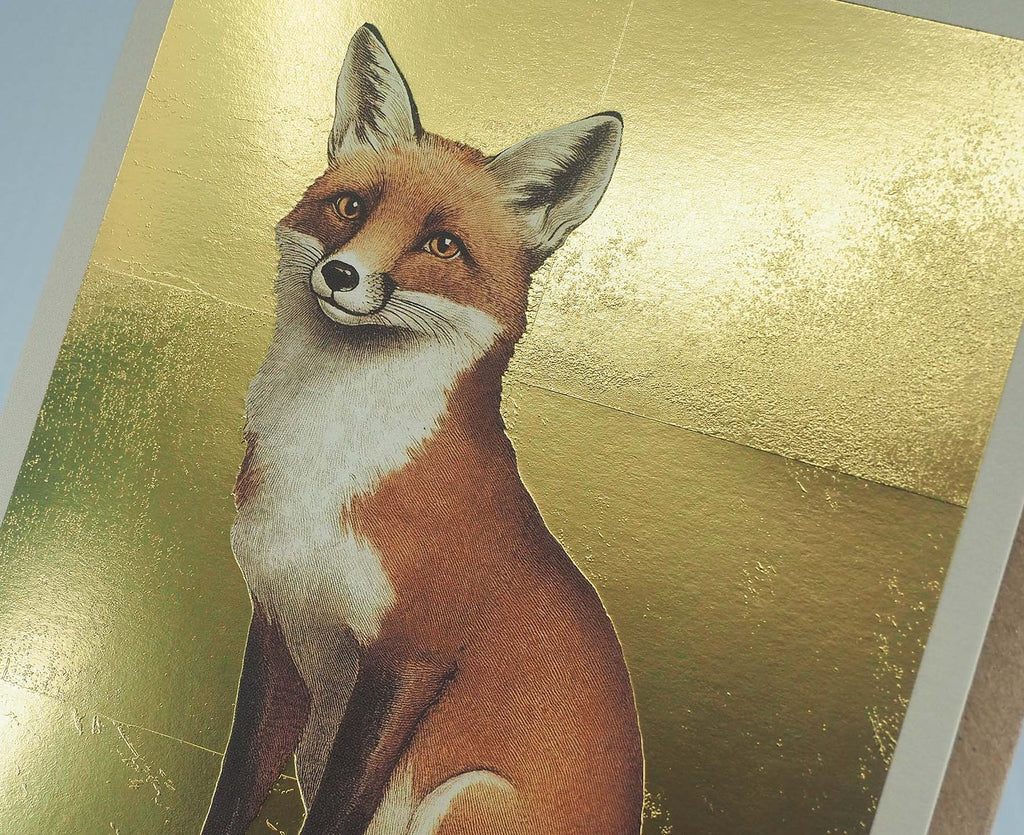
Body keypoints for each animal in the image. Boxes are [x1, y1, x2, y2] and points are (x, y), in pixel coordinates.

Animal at [201, 23, 642, 835]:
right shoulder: (278, 627)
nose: (342, 274)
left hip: (460, 798)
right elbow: (236, 790)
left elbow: (336, 811)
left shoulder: (411, 657)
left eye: (441, 245)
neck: (326, 472)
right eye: (350, 207)